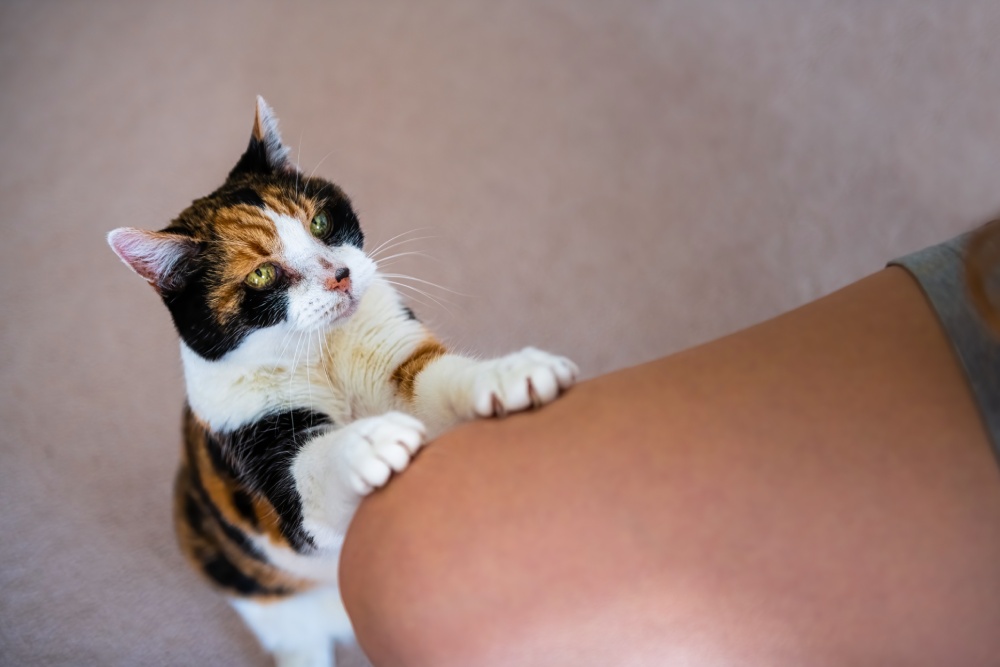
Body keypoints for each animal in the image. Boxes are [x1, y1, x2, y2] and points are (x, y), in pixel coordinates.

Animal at [107, 96, 580, 664]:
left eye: (322, 221)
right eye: (261, 274)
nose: (341, 275)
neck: (323, 355)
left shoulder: (400, 358)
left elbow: (446, 379)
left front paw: (514, 373)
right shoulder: (262, 454)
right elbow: (312, 471)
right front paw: (371, 442)